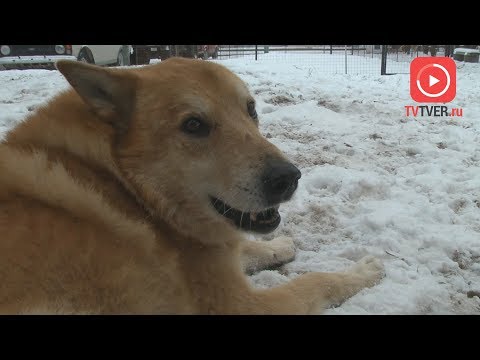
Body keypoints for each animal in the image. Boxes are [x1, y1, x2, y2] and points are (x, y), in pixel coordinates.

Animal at [0, 57, 384, 314]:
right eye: (194, 125)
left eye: (251, 109)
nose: (288, 177)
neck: (128, 187)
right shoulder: (239, 304)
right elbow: (316, 281)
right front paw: (362, 271)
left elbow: (246, 248)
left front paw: (279, 245)